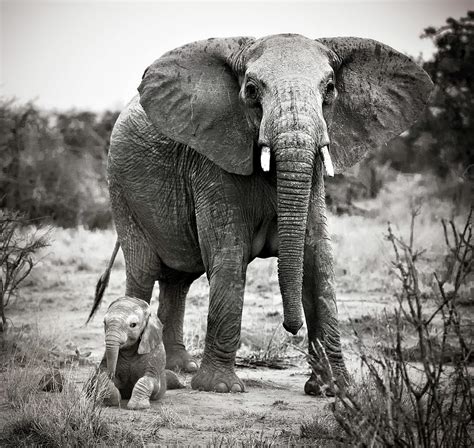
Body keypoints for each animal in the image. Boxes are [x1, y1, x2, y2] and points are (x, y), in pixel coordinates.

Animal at [89, 35, 434, 396]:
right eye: (252, 90)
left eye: (329, 88)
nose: (291, 326)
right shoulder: (214, 163)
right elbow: (229, 254)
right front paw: (221, 388)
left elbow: (317, 259)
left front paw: (334, 390)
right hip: (121, 187)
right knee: (143, 270)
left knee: (178, 279)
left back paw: (179, 368)